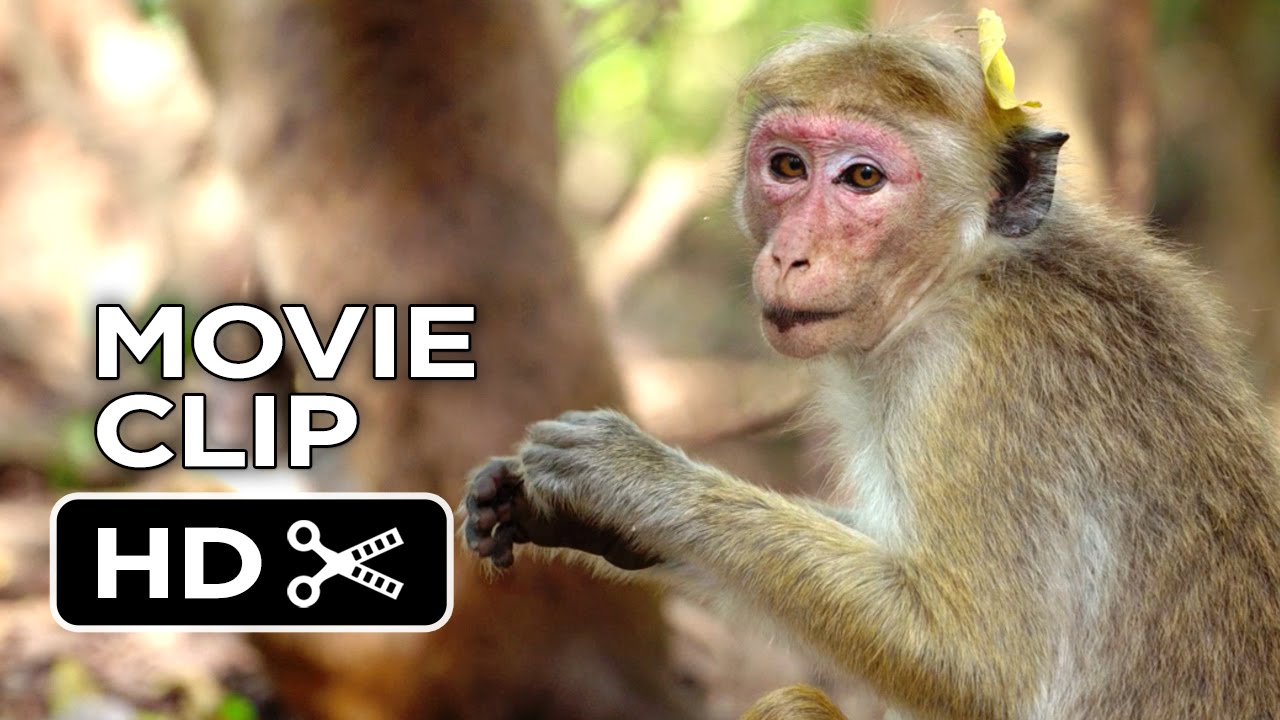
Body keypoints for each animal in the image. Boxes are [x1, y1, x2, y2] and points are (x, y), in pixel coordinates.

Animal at [463, 24, 1280, 720]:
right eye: (787, 167)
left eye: (861, 178)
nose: (790, 254)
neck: (963, 278)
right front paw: (581, 518)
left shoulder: (980, 384)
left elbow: (978, 661)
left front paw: (633, 478)